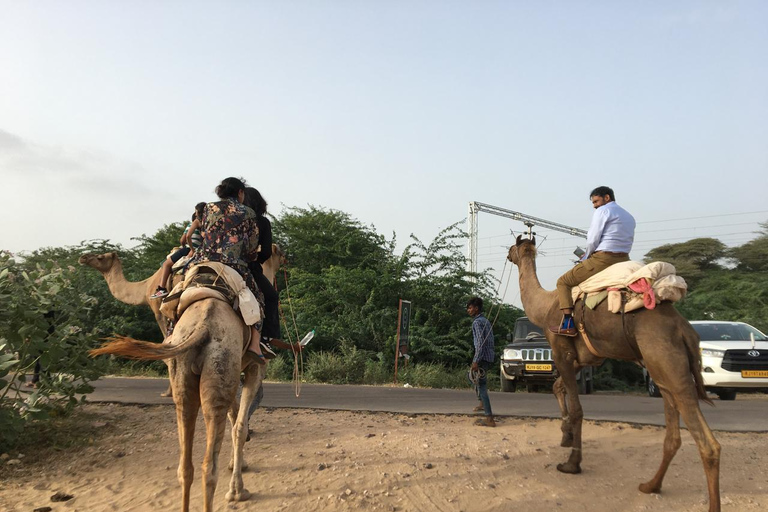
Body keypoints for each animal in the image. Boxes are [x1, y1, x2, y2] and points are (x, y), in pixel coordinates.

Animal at [510, 236, 720, 512]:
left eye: (514, 247)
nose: (509, 254)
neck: (545, 307)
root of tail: (684, 329)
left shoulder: (561, 350)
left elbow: (577, 408)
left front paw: (572, 463)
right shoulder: (585, 358)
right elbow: (557, 387)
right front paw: (565, 435)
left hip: (668, 363)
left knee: (707, 442)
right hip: (662, 368)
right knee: (673, 433)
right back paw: (650, 485)